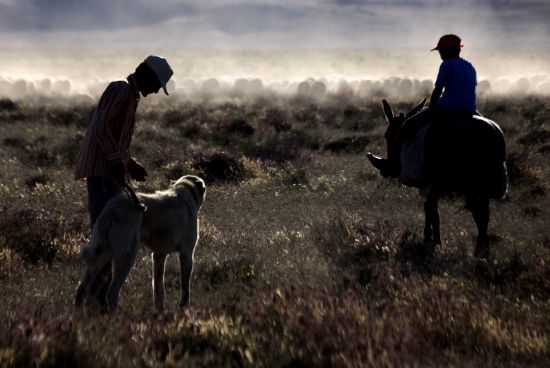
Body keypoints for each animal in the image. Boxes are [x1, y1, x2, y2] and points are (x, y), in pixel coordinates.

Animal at [75, 175, 207, 310]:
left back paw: (78, 312)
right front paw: (184, 308)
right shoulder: (186, 255)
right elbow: (185, 288)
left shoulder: (159, 256)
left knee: (81, 289)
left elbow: (159, 289)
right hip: (127, 258)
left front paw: (160, 311)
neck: (185, 191)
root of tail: (111, 209)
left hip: (100, 257)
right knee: (112, 293)